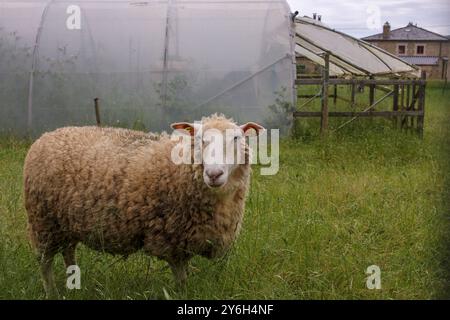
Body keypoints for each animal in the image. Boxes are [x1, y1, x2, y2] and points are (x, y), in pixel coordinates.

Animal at [23, 114, 264, 296]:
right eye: (199, 139)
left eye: (237, 138)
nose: (214, 174)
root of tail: (48, 135)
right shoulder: (171, 238)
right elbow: (181, 279)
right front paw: (182, 294)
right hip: (43, 221)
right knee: (45, 262)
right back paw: (52, 292)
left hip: (65, 223)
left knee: (68, 252)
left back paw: (73, 283)